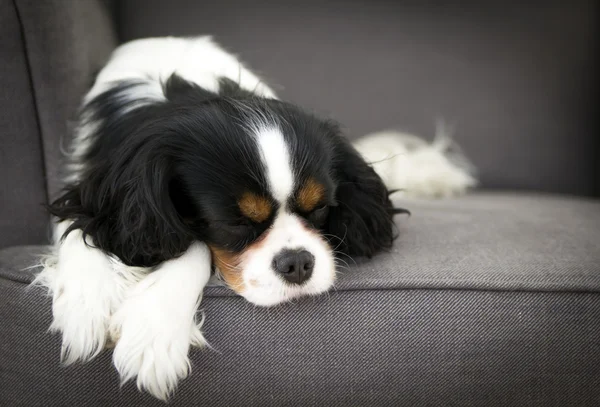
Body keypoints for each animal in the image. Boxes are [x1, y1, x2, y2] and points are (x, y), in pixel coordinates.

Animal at [35, 36, 474, 400]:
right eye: (234, 223)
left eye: (319, 207)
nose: (298, 263)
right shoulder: (94, 191)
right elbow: (80, 227)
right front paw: (86, 300)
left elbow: (194, 248)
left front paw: (153, 332)